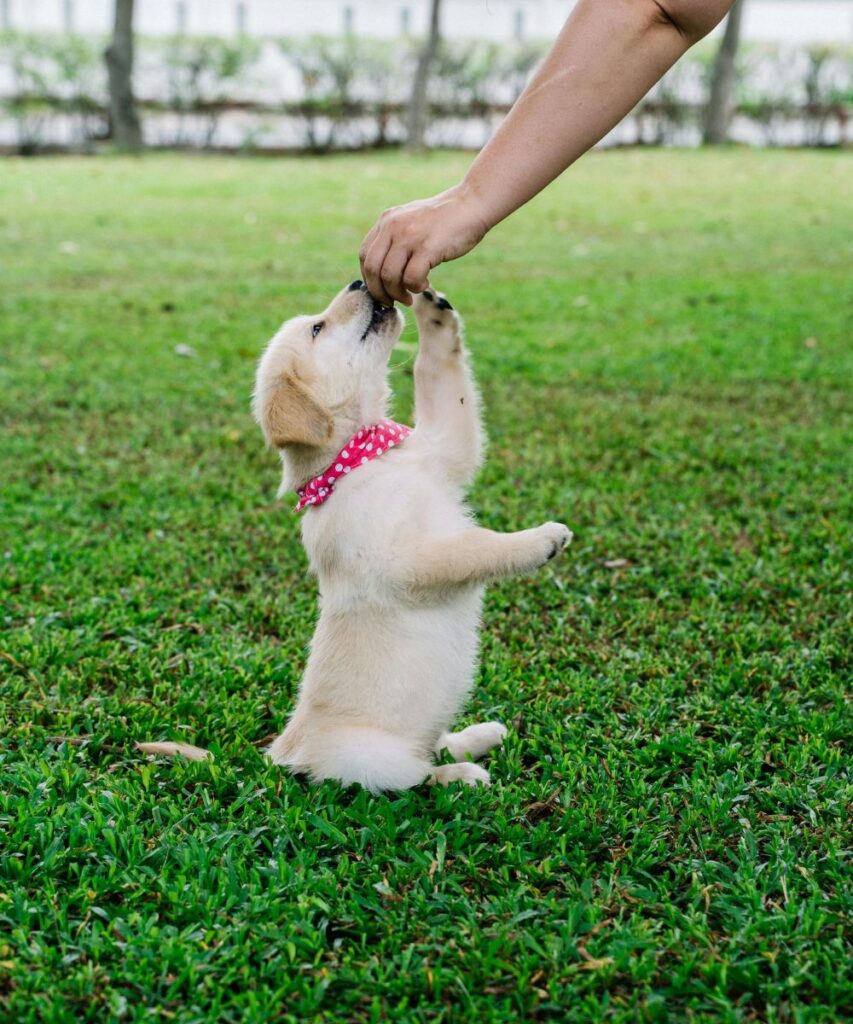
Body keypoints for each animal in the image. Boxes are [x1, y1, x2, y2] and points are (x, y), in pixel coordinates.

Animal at [252, 280, 573, 790]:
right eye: (318, 328)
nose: (358, 281)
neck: (363, 456)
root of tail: (284, 754)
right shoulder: (406, 560)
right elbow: (474, 547)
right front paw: (539, 540)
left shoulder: (446, 447)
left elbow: (438, 377)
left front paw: (434, 316)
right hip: (372, 760)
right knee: (418, 777)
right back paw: (463, 774)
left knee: (433, 744)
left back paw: (478, 735)